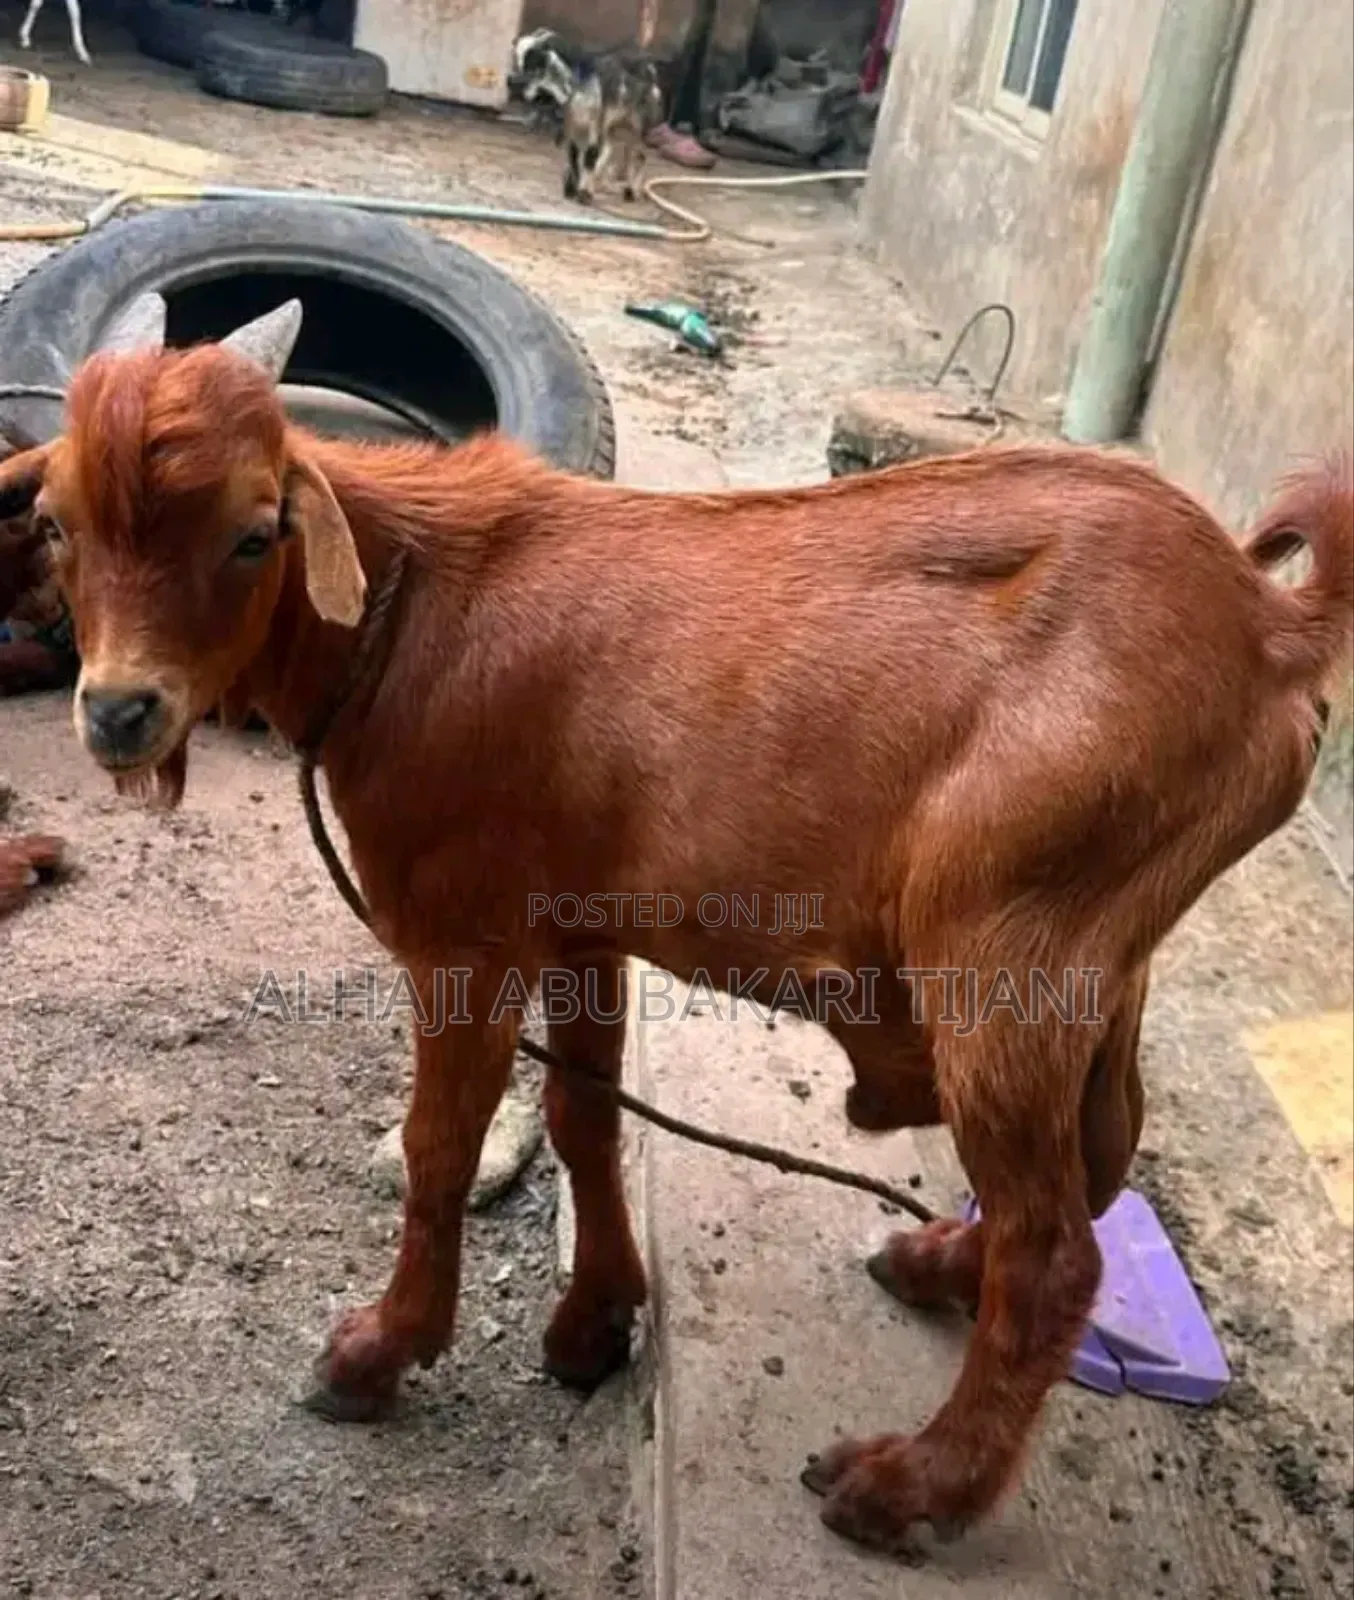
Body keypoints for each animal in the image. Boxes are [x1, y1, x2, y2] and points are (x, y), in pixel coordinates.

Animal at [1, 293, 1349, 1556]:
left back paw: (907, 1485)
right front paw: (593, 1323)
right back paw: (931, 1267)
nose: (120, 711)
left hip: (1006, 951)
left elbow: (441, 1151)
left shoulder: (461, 938)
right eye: (58, 525)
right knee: (1105, 1152)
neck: (405, 611)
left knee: (1057, 1244)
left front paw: (377, 1351)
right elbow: (581, 1115)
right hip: (1105, 955)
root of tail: (1267, 631)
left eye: (252, 532)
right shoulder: (582, 926)